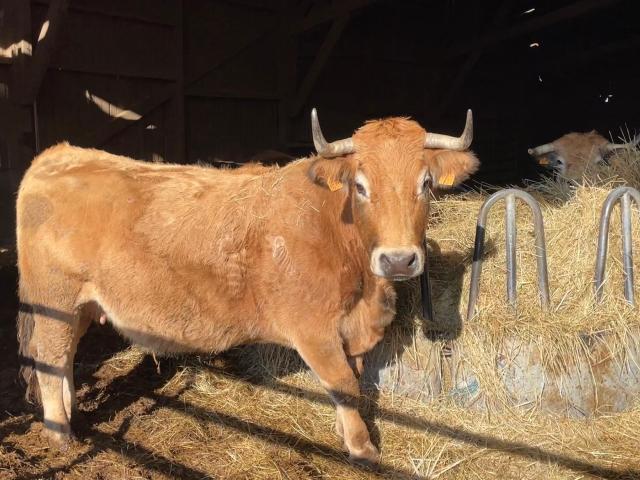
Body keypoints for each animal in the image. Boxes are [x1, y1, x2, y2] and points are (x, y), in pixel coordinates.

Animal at [15, 108, 478, 462]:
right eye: (360, 186)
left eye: (426, 183)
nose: (398, 259)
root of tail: (60, 153)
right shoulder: (313, 330)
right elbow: (344, 384)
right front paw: (362, 449)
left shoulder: (352, 328)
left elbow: (356, 382)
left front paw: (344, 431)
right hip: (55, 298)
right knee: (49, 356)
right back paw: (60, 433)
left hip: (80, 306)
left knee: (62, 359)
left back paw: (71, 413)